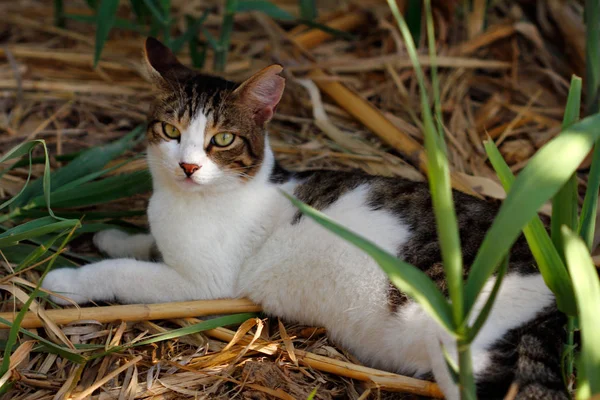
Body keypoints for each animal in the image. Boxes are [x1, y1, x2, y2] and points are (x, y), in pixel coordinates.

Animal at [43, 37, 568, 400]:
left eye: (222, 140)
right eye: (171, 131)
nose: (188, 166)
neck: (184, 201)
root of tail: (557, 295)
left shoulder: (204, 284)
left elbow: (125, 273)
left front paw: (67, 280)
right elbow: (142, 244)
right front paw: (114, 236)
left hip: (474, 350)